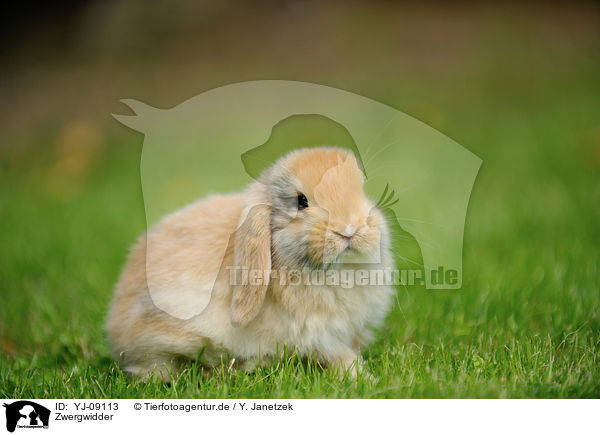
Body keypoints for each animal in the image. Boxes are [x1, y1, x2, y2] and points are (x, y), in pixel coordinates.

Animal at [106, 148, 398, 380]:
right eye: (301, 201)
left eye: (361, 191)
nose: (349, 229)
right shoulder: (320, 335)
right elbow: (340, 356)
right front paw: (362, 378)